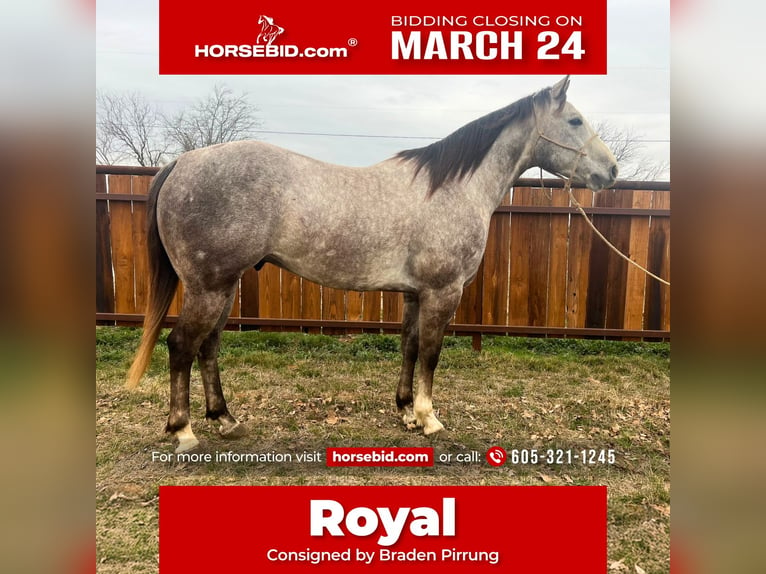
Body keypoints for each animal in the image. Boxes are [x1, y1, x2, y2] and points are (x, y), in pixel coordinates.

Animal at [126, 77, 616, 454]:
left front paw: (405, 412)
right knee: (181, 346)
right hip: (209, 287)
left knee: (207, 348)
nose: (610, 171)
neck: (453, 188)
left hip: (223, 287)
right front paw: (429, 417)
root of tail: (182, 162)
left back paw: (226, 420)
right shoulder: (443, 292)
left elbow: (410, 347)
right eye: (574, 120)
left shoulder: (416, 293)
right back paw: (184, 431)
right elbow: (431, 353)